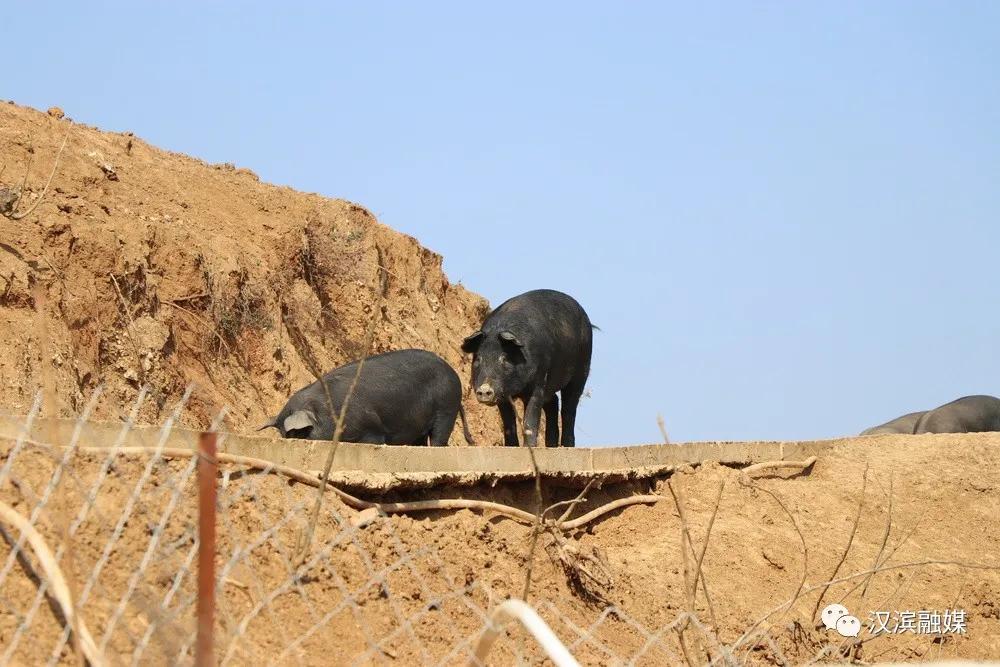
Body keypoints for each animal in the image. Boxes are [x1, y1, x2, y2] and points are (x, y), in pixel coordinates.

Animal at [462, 288, 592, 448]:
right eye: (478, 359)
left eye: (504, 359)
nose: (485, 389)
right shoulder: (503, 395)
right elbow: (508, 424)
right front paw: (512, 447)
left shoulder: (539, 381)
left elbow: (530, 420)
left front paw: (529, 446)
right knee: (553, 402)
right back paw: (550, 445)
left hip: (582, 369)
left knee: (569, 407)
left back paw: (567, 445)